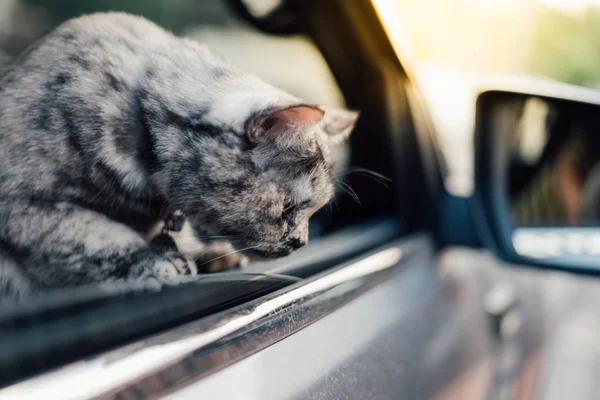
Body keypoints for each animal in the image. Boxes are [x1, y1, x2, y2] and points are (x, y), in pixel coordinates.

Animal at [0, 11, 358, 296]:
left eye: (312, 212)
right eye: (286, 206)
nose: (302, 242)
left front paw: (201, 253)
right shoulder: (27, 208)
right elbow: (95, 235)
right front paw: (156, 261)